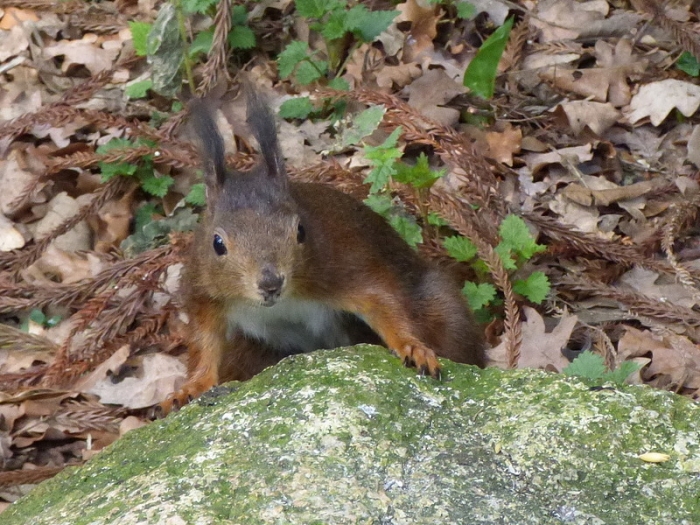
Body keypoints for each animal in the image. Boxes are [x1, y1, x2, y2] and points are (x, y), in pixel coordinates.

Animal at [160, 89, 485, 413]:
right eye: (217, 243)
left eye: (301, 230)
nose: (270, 283)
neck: (282, 304)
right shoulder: (204, 294)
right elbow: (204, 342)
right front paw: (189, 388)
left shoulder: (344, 264)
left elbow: (384, 303)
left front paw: (412, 347)